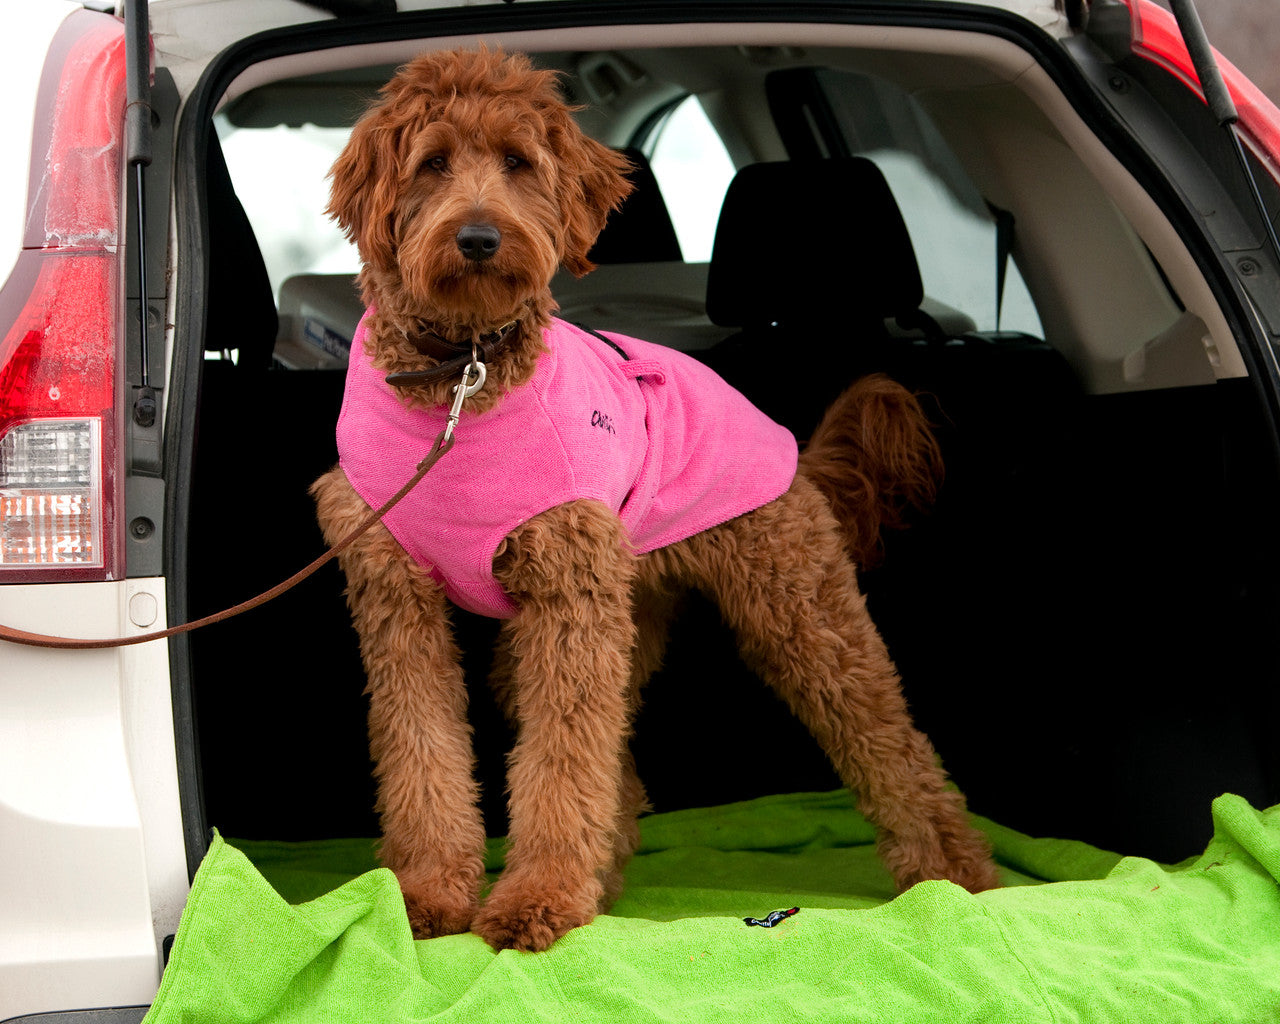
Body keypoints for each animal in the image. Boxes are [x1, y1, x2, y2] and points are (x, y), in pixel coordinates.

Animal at [312, 48, 998, 957]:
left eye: (518, 163)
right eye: (432, 164)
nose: (480, 239)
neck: (461, 376)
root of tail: (790, 447)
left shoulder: (569, 597)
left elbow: (563, 763)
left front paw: (535, 902)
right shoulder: (397, 594)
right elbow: (423, 750)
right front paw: (424, 894)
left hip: (799, 613)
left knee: (889, 741)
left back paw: (957, 879)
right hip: (612, 620)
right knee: (620, 774)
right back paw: (600, 881)